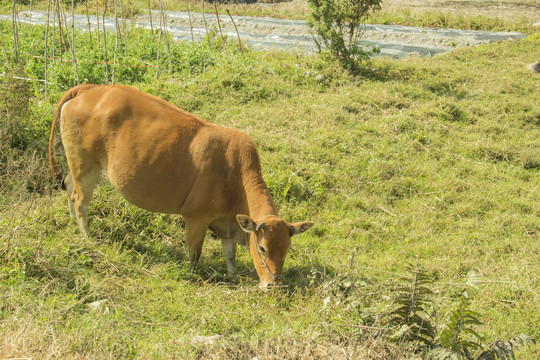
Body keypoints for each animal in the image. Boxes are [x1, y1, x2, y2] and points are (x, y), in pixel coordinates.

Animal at [49, 83, 316, 286]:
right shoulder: (197, 218)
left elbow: (230, 254)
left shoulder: (228, 223)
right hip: (86, 164)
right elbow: (194, 252)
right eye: (262, 248)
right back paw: (86, 237)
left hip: (77, 165)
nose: (274, 284)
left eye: (287, 249)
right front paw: (193, 274)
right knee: (80, 201)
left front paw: (233, 275)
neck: (234, 175)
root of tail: (90, 88)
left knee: (69, 186)